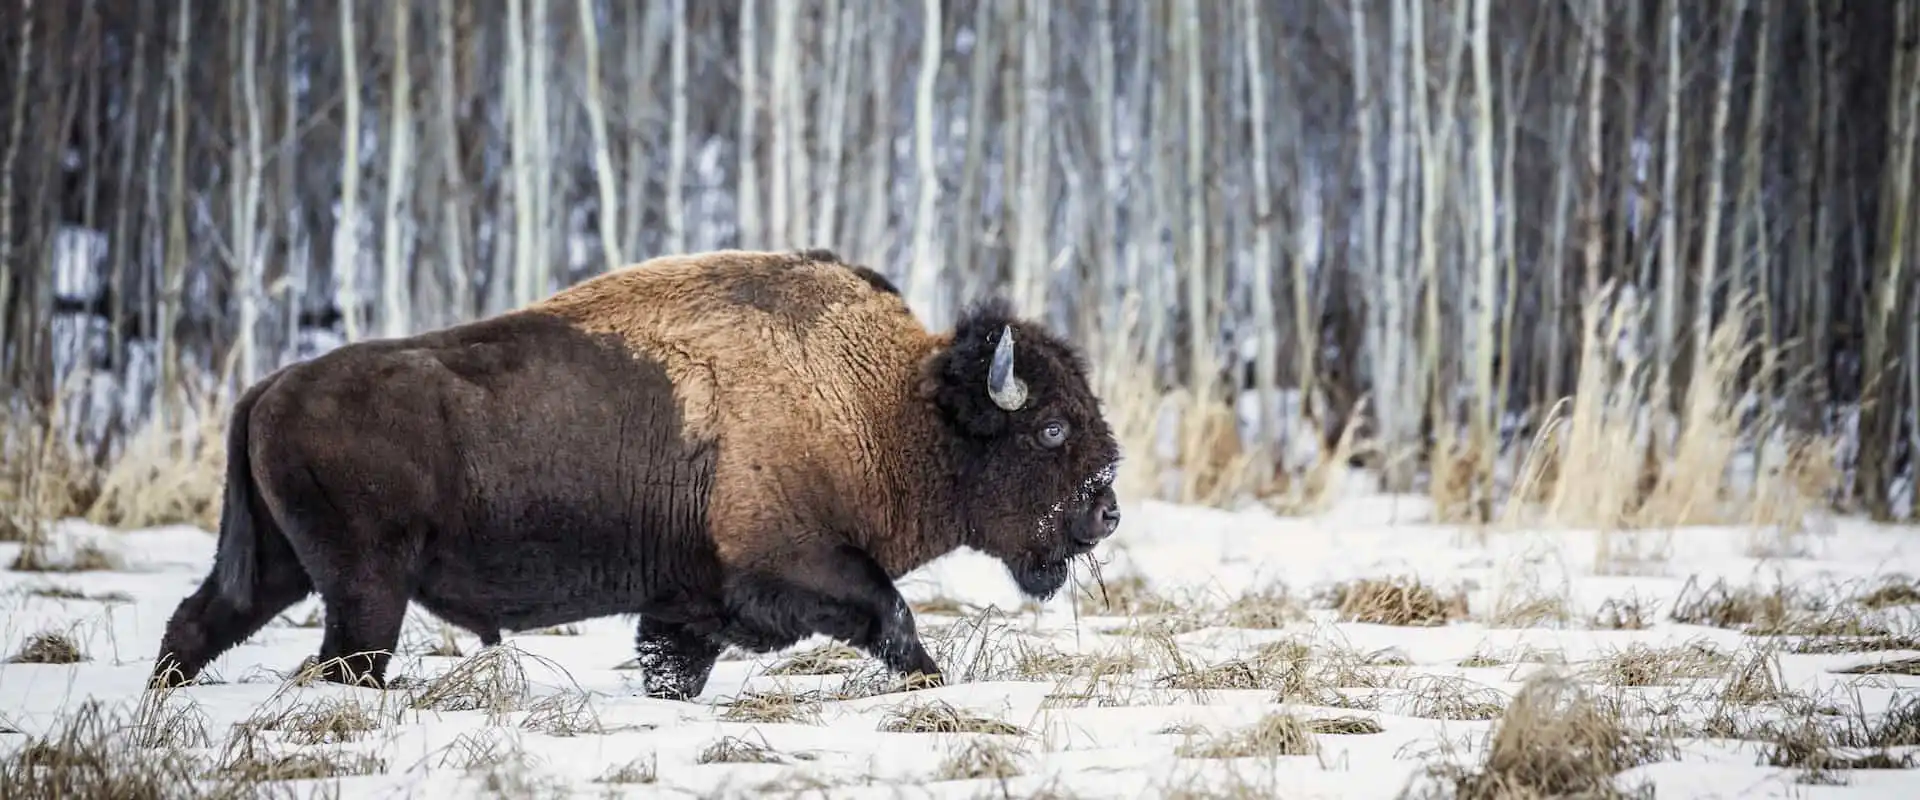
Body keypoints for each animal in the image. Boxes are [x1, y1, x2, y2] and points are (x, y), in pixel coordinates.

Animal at [148, 248, 1124, 700]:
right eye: (1049, 428)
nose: (1107, 507)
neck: (886, 400)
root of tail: (269, 386)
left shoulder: (688, 610)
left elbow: (671, 665)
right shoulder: (797, 566)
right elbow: (895, 617)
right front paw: (934, 683)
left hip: (281, 567)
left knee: (201, 621)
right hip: (363, 586)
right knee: (344, 659)